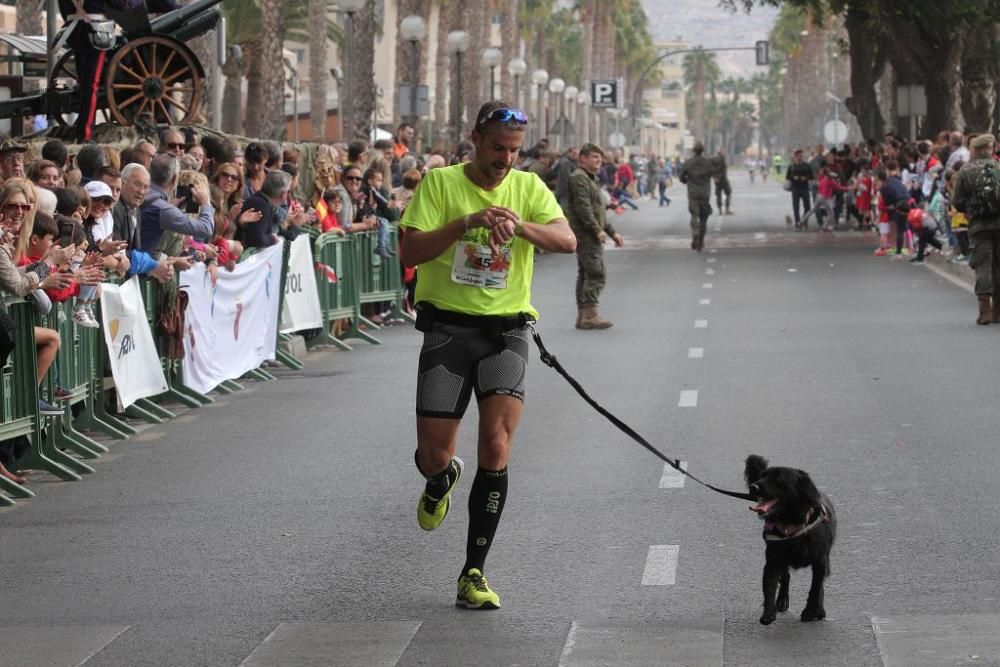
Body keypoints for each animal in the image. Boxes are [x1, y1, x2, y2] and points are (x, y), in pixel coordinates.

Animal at [744, 454, 836, 628]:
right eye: (762, 476)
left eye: (779, 479)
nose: (754, 486)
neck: (791, 522)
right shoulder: (773, 560)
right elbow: (769, 586)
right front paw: (768, 613)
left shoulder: (820, 561)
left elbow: (816, 588)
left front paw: (810, 612)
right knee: (785, 576)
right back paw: (782, 601)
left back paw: (820, 610)